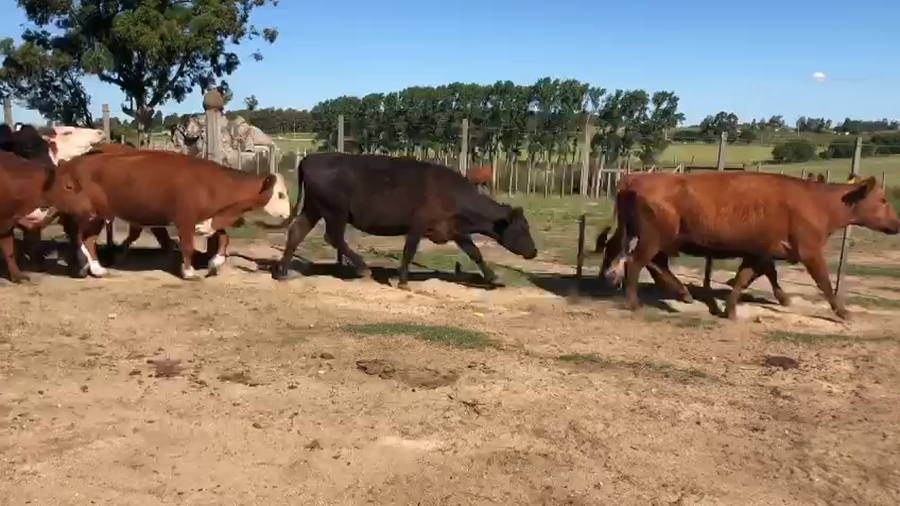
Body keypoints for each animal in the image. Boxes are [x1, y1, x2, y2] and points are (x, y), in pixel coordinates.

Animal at [58, 149, 291, 280]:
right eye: (280, 194)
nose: (288, 214)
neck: (212, 184)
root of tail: (74, 161)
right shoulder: (185, 219)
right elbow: (188, 246)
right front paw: (188, 272)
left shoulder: (208, 218)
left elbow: (223, 237)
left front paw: (214, 263)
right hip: (91, 213)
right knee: (81, 238)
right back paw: (87, 266)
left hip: (98, 216)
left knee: (87, 239)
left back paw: (97, 269)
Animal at [267, 152, 537, 288]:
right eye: (523, 228)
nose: (534, 251)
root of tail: (309, 158)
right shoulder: (417, 225)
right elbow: (409, 251)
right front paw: (404, 281)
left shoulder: (454, 230)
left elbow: (476, 252)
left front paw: (492, 278)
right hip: (335, 211)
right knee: (332, 236)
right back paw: (363, 267)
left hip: (314, 208)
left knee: (297, 231)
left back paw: (282, 272)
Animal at [598, 171, 899, 319]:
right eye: (883, 200)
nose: (897, 224)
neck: (818, 202)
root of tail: (634, 179)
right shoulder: (810, 251)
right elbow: (824, 282)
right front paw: (843, 312)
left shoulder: (761, 252)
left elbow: (748, 277)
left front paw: (731, 309)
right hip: (654, 237)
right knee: (637, 262)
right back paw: (635, 303)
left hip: (661, 238)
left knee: (651, 262)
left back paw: (683, 293)